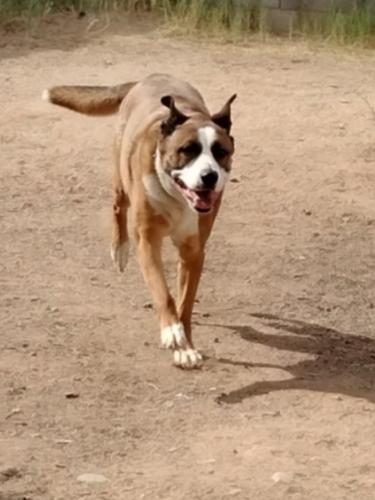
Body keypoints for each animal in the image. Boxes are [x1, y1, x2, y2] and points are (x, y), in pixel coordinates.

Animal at [44, 75, 236, 372]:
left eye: (220, 152)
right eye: (188, 150)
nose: (209, 176)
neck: (176, 197)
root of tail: (150, 77)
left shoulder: (193, 252)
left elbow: (185, 303)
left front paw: (185, 347)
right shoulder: (147, 242)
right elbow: (163, 293)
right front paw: (171, 331)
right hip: (121, 179)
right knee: (118, 207)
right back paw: (120, 249)